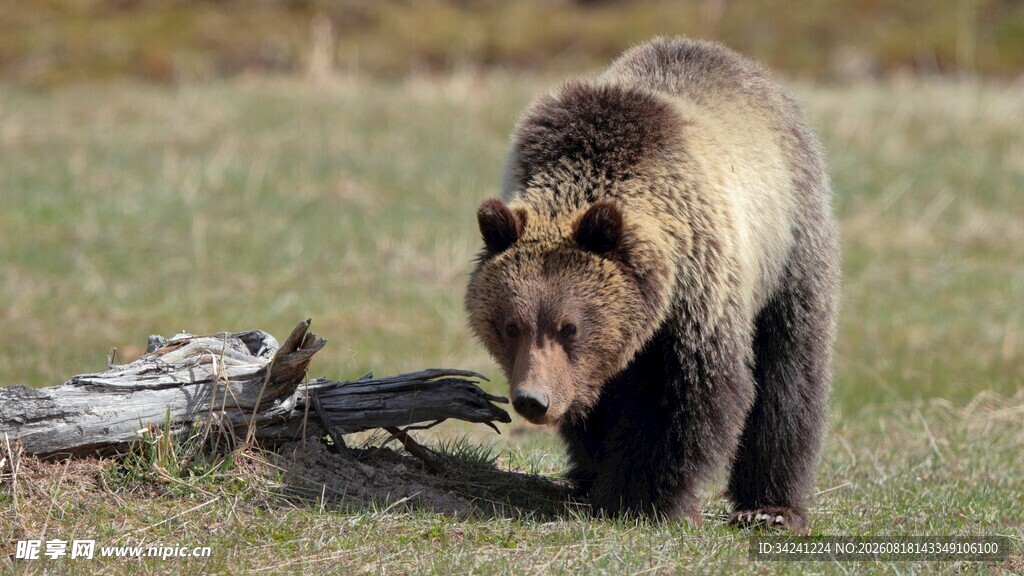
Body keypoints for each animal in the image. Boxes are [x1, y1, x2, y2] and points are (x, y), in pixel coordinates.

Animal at [465, 37, 839, 531]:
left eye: (570, 326)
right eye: (511, 325)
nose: (533, 400)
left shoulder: (696, 292)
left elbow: (686, 395)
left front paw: (643, 497)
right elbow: (597, 405)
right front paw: (596, 474)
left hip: (789, 246)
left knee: (789, 373)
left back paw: (770, 506)